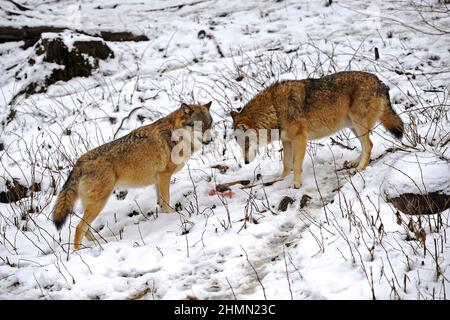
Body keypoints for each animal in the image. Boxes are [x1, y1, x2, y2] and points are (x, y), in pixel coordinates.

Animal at [51, 102, 214, 250]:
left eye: (210, 124)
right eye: (199, 126)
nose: (210, 140)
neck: (176, 136)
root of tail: (79, 163)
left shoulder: (158, 180)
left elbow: (160, 203)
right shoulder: (164, 176)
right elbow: (167, 202)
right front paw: (172, 217)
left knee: (86, 229)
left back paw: (100, 243)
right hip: (99, 203)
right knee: (79, 228)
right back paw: (79, 253)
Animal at [232, 71, 404, 189]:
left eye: (246, 143)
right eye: (240, 145)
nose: (245, 162)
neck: (275, 109)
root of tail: (380, 83)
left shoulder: (300, 139)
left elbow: (296, 165)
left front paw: (296, 185)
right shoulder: (286, 141)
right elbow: (286, 165)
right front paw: (280, 179)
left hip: (358, 125)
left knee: (368, 146)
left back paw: (360, 168)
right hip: (353, 127)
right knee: (369, 145)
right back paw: (354, 162)